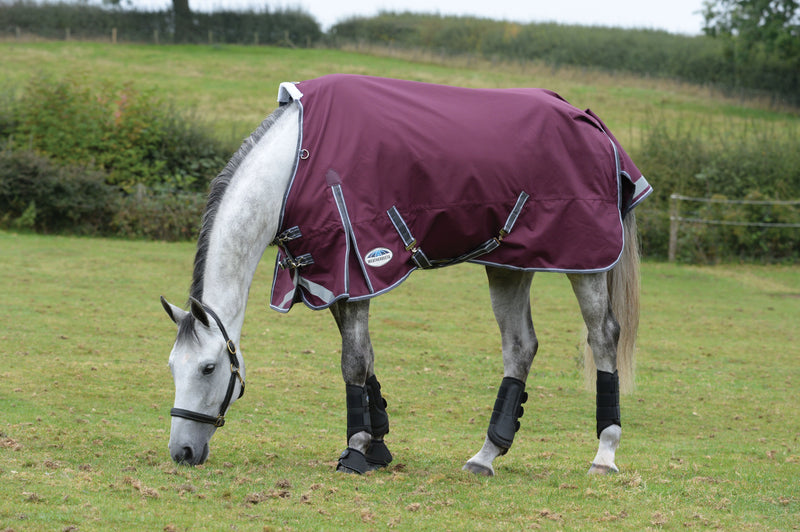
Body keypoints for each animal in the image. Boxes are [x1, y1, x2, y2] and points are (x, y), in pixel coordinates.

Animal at [161, 74, 652, 476]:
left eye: (208, 368)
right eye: (172, 366)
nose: (181, 452)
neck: (294, 166)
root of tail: (589, 122)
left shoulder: (355, 266)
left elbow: (353, 361)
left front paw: (356, 450)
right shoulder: (331, 277)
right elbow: (366, 359)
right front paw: (377, 446)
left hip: (585, 260)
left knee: (602, 336)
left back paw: (604, 454)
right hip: (510, 262)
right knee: (520, 347)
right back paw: (486, 455)